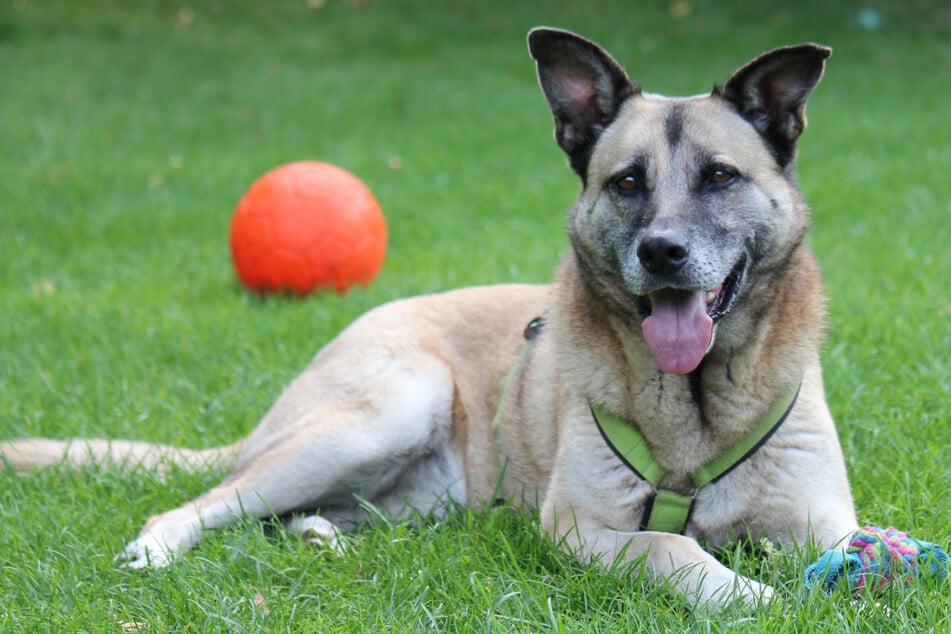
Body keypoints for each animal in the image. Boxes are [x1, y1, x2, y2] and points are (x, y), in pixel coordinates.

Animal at [1, 28, 864, 604]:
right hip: (386, 408)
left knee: (307, 516)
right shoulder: (578, 529)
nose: (661, 254)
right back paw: (157, 549)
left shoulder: (822, 518)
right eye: (627, 182)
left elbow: (850, 545)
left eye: (720, 176)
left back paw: (318, 534)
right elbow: (666, 548)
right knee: (208, 502)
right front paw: (745, 594)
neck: (697, 403)